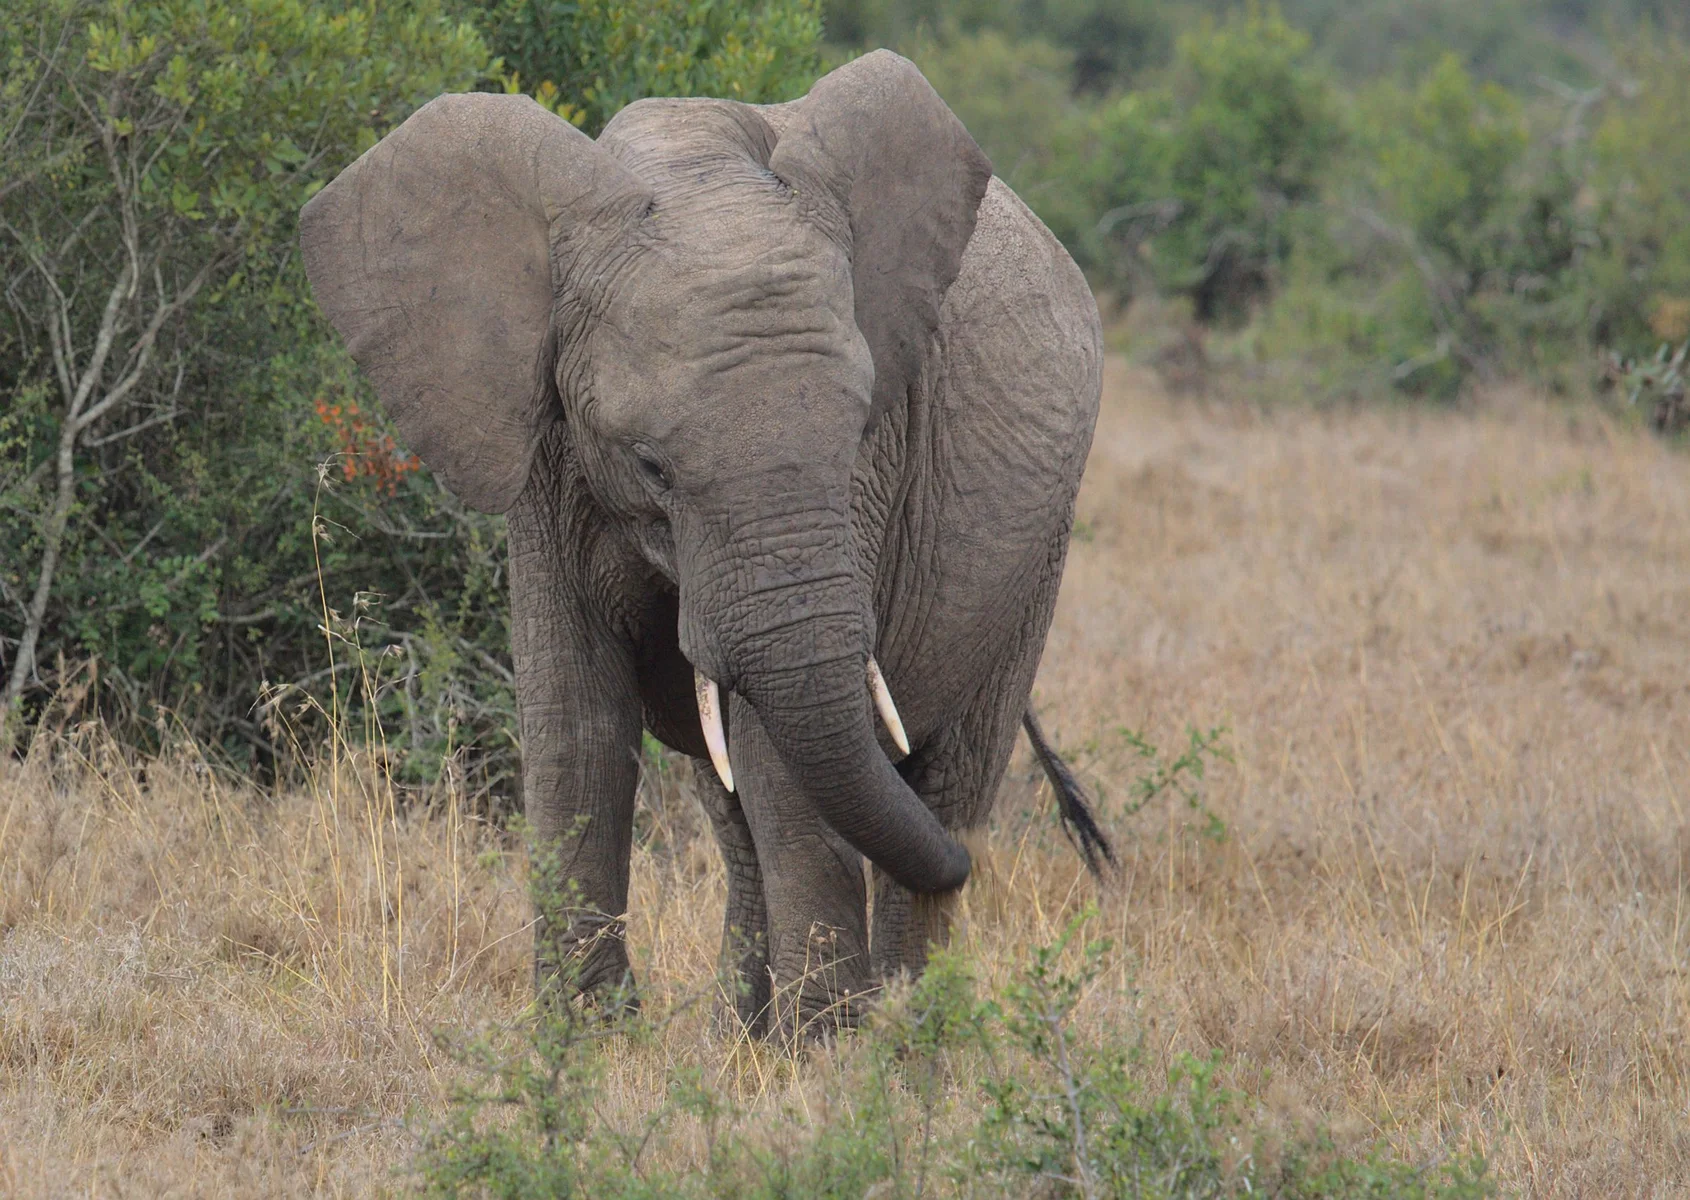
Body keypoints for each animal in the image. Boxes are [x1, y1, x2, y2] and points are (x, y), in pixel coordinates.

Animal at [299, 50, 1110, 1039]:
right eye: (650, 464)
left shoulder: (870, 473)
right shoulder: (547, 436)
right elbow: (575, 712)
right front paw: (588, 1038)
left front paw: (825, 1051)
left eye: (856, 428)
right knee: (741, 809)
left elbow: (779, 754)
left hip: (1041, 549)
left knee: (949, 777)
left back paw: (907, 1037)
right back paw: (748, 1032)